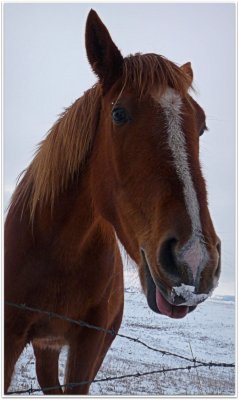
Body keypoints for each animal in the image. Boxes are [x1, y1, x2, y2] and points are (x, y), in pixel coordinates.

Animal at [4, 8, 220, 394]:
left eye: (202, 125)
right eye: (119, 114)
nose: (194, 262)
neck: (57, 250)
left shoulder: (89, 344)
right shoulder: (8, 339)